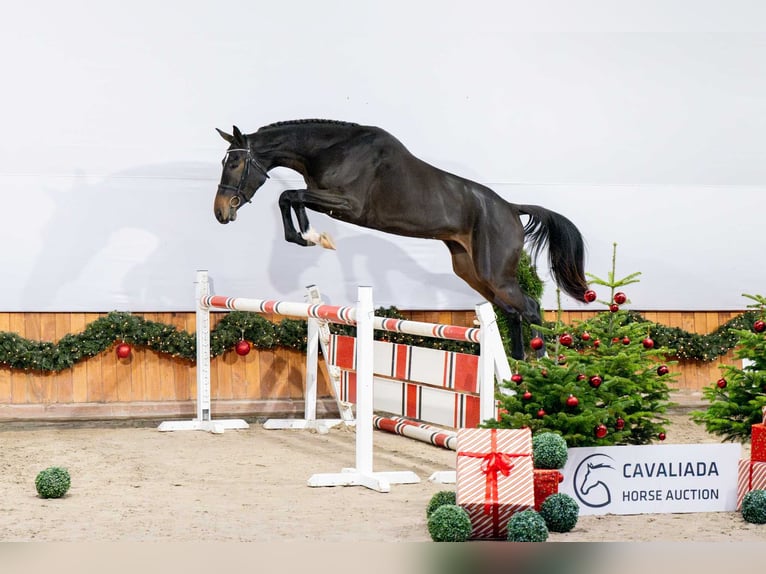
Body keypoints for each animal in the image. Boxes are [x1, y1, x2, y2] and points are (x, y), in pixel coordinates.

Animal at [213, 119, 588, 360]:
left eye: (234, 164)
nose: (220, 212)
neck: (333, 149)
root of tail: (511, 208)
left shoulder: (347, 205)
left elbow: (290, 196)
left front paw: (313, 237)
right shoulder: (327, 199)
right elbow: (290, 198)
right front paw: (309, 237)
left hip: (494, 272)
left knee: (531, 309)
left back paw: (541, 368)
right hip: (471, 271)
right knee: (513, 312)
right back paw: (520, 370)